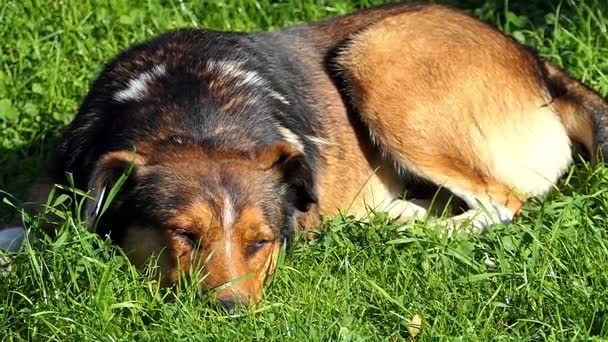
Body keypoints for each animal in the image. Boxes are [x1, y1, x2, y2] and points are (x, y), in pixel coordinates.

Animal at [4, 2, 608, 310]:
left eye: (261, 243)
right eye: (183, 234)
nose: (229, 313)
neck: (195, 109)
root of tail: (538, 65)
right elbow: (23, 230)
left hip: (378, 54)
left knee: (501, 202)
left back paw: (393, 227)